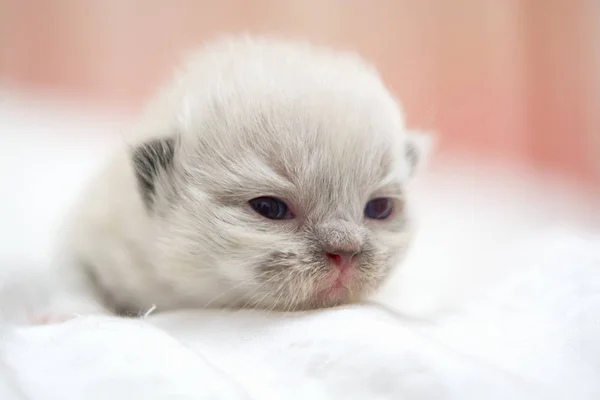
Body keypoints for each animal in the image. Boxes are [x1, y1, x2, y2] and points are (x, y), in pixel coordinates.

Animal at [47, 36, 432, 320]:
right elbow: (70, 274)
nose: (346, 251)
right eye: (270, 208)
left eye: (379, 209)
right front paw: (70, 315)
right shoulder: (100, 233)